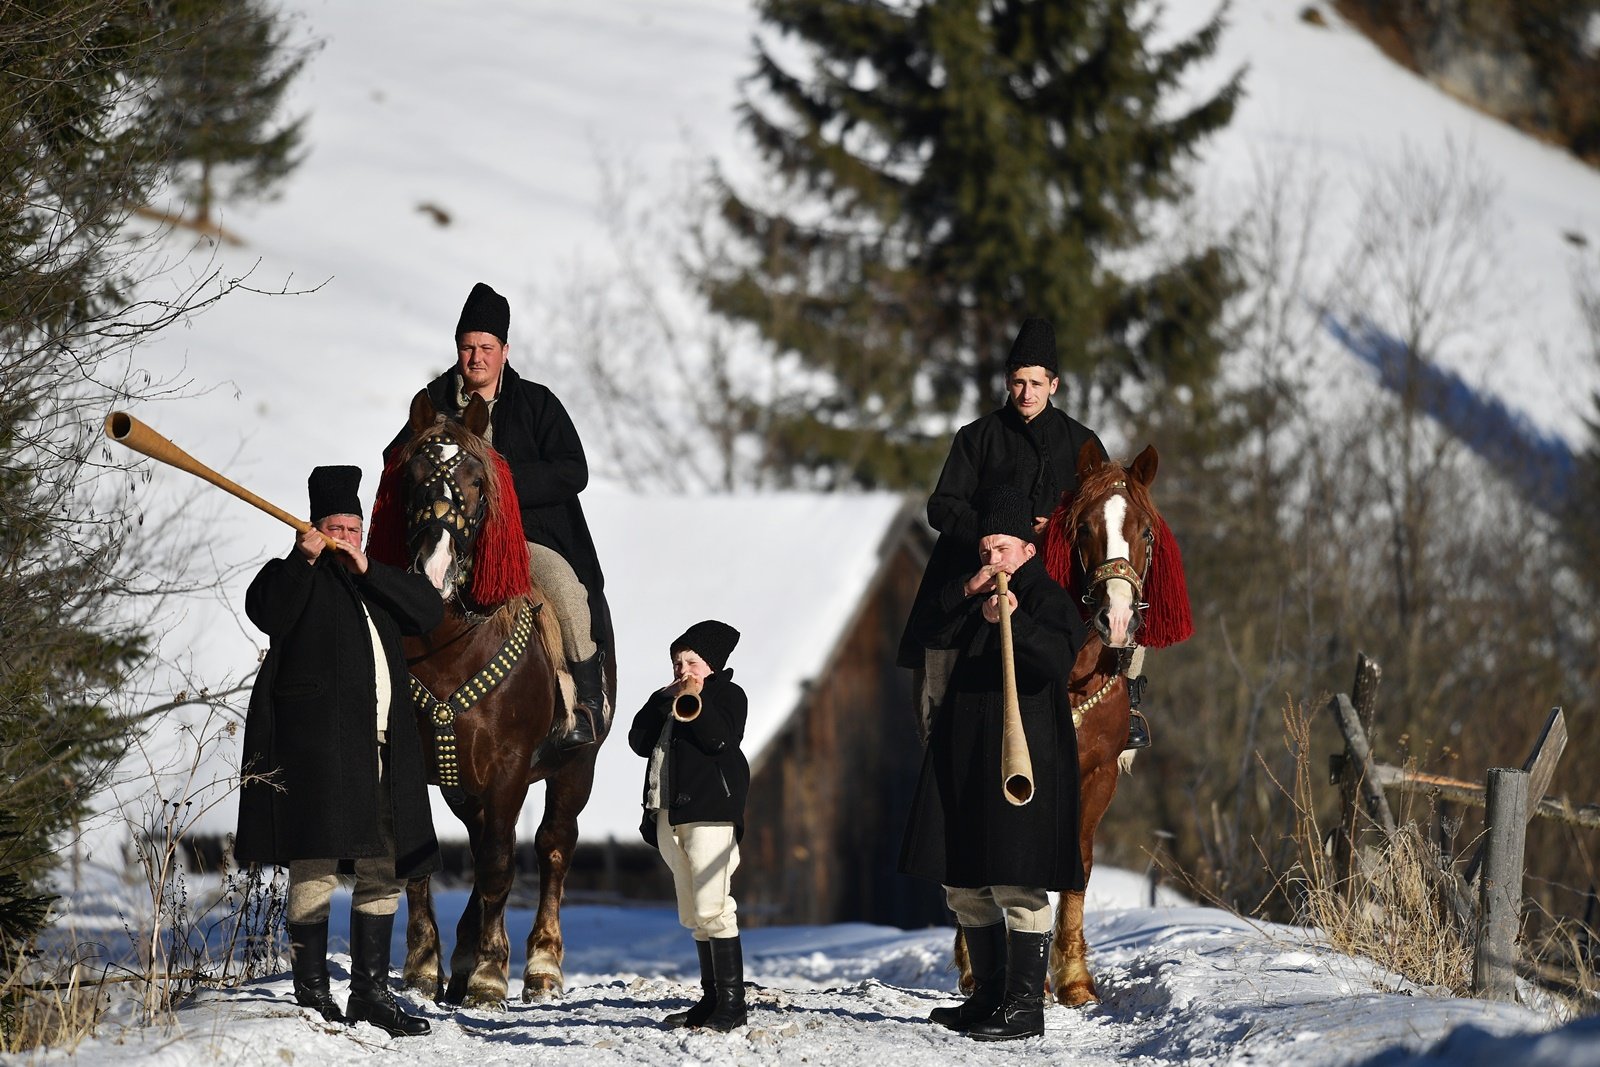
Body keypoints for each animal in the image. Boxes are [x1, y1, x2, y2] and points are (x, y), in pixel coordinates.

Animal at [371, 395, 614, 1011]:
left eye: (477, 482)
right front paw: (424, 969)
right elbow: (422, 862)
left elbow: (503, 864)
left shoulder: (508, 767)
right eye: (410, 477)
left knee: (552, 847)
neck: (448, 643)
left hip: (575, 768)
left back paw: (541, 966)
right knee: (482, 845)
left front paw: (488, 974)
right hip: (466, 785)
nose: (434, 568)